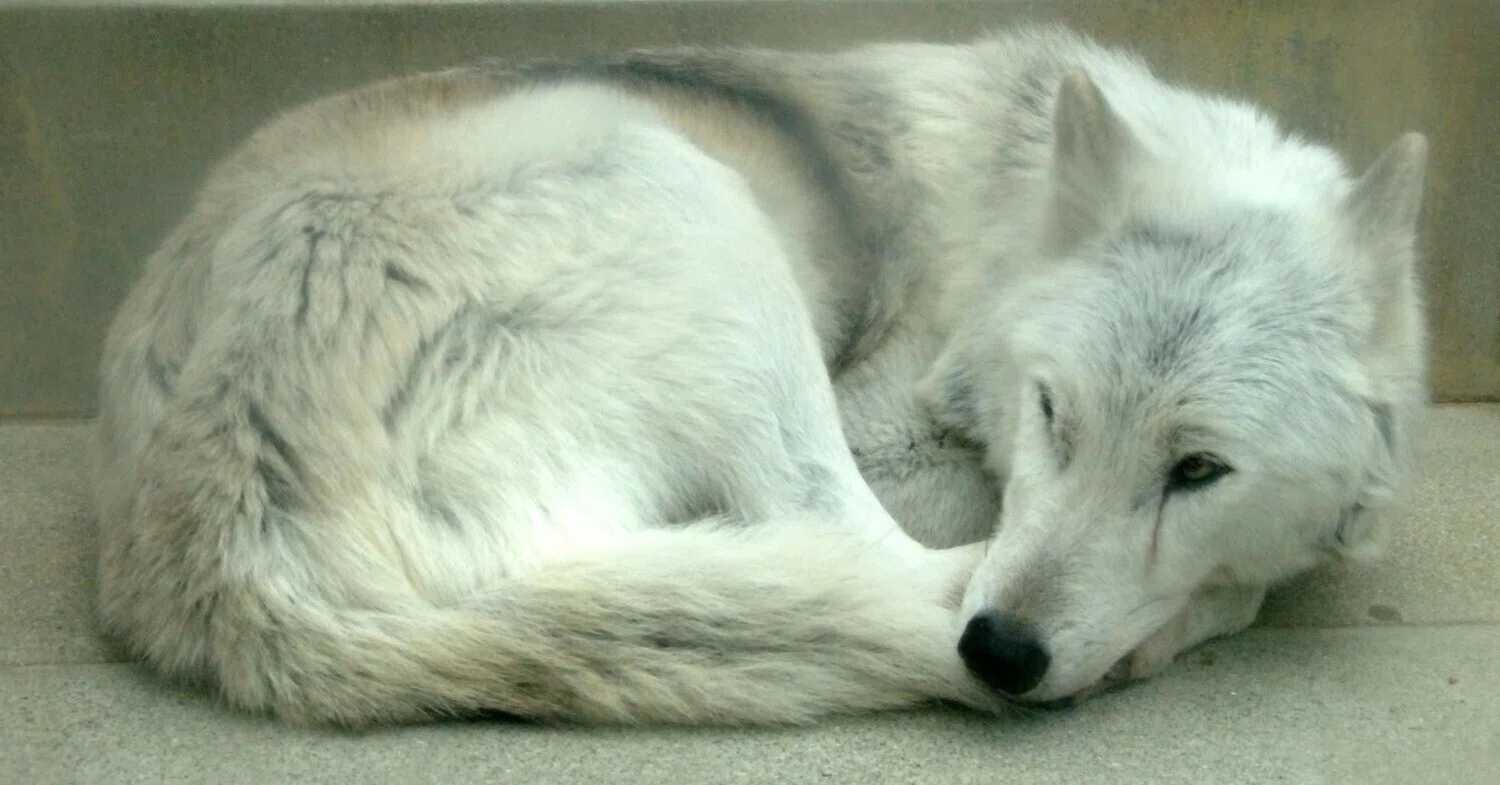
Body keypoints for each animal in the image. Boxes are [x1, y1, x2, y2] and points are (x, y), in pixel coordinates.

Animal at [94, 26, 1428, 725]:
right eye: (1055, 415)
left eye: (1198, 468)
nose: (1001, 654)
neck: (1009, 220)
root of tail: (223, 551)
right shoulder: (894, 431)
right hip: (701, 215)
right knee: (857, 549)